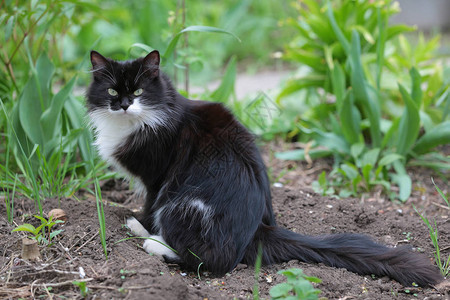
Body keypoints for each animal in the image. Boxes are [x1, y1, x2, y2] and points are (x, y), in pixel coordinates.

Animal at [88, 50, 442, 288]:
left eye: (138, 91)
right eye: (111, 91)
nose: (123, 104)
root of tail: (258, 229)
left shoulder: (157, 178)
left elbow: (149, 206)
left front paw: (138, 223)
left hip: (181, 203)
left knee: (210, 259)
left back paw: (154, 242)